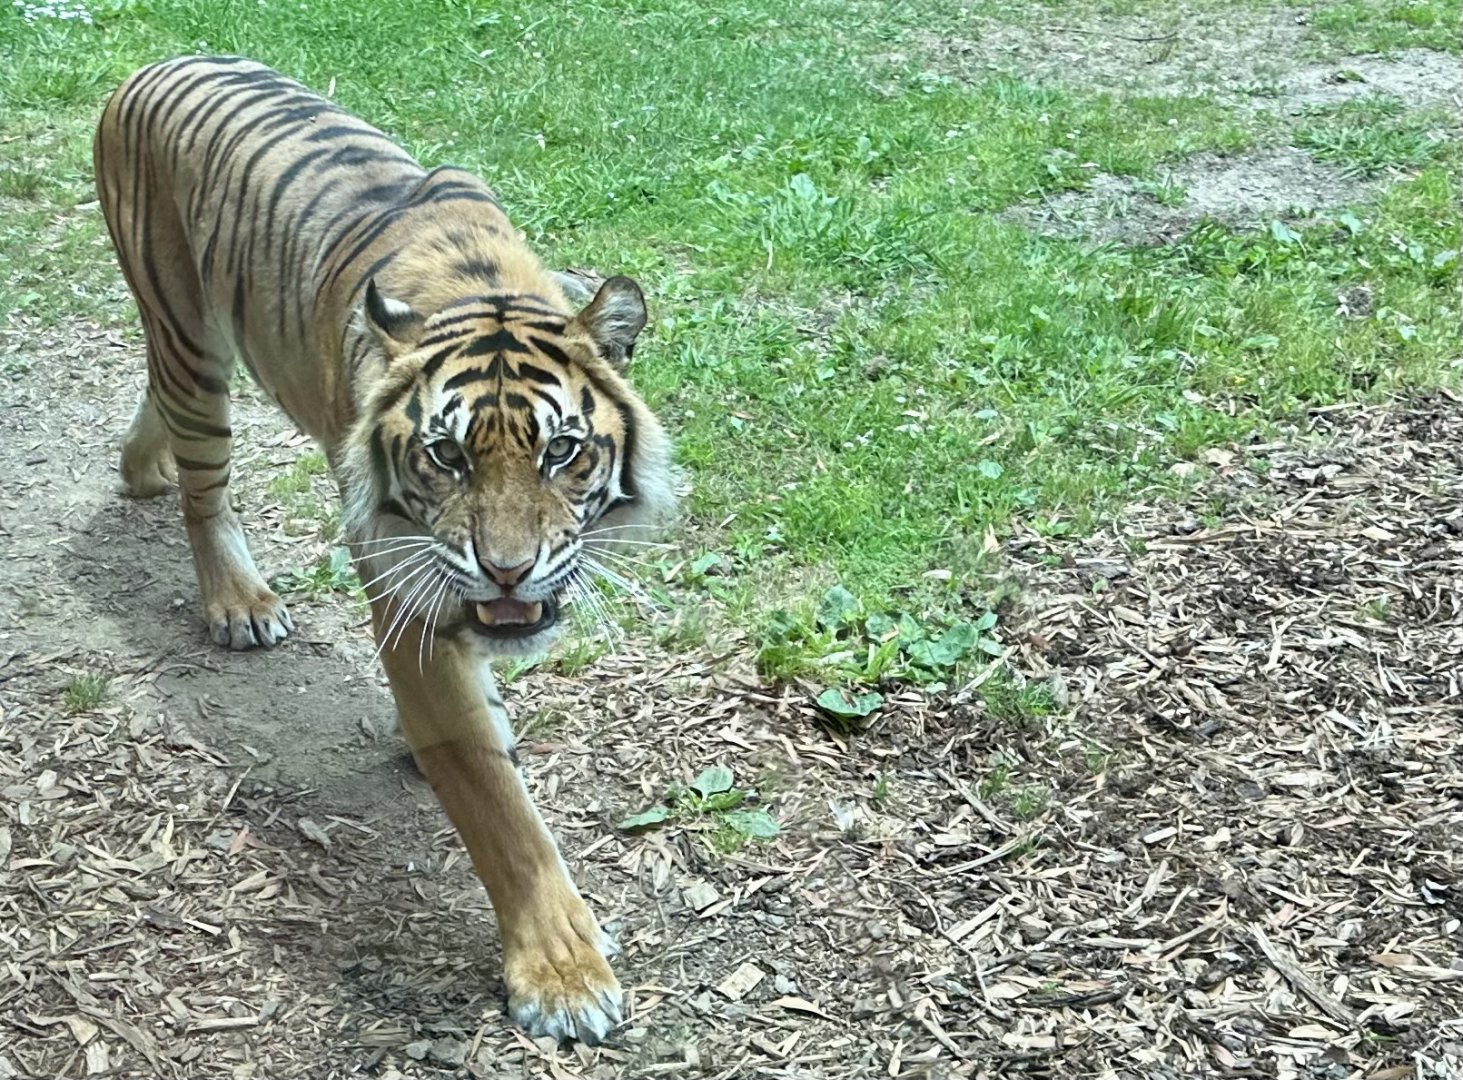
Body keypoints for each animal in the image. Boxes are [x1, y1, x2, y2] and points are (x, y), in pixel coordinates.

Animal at [93, 55, 676, 1045]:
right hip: (190, 339)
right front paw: (564, 978)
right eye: (446, 456)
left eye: (562, 451)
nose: (509, 569)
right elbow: (495, 805)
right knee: (206, 491)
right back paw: (237, 600)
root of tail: (149, 65)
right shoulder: (410, 592)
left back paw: (142, 468)